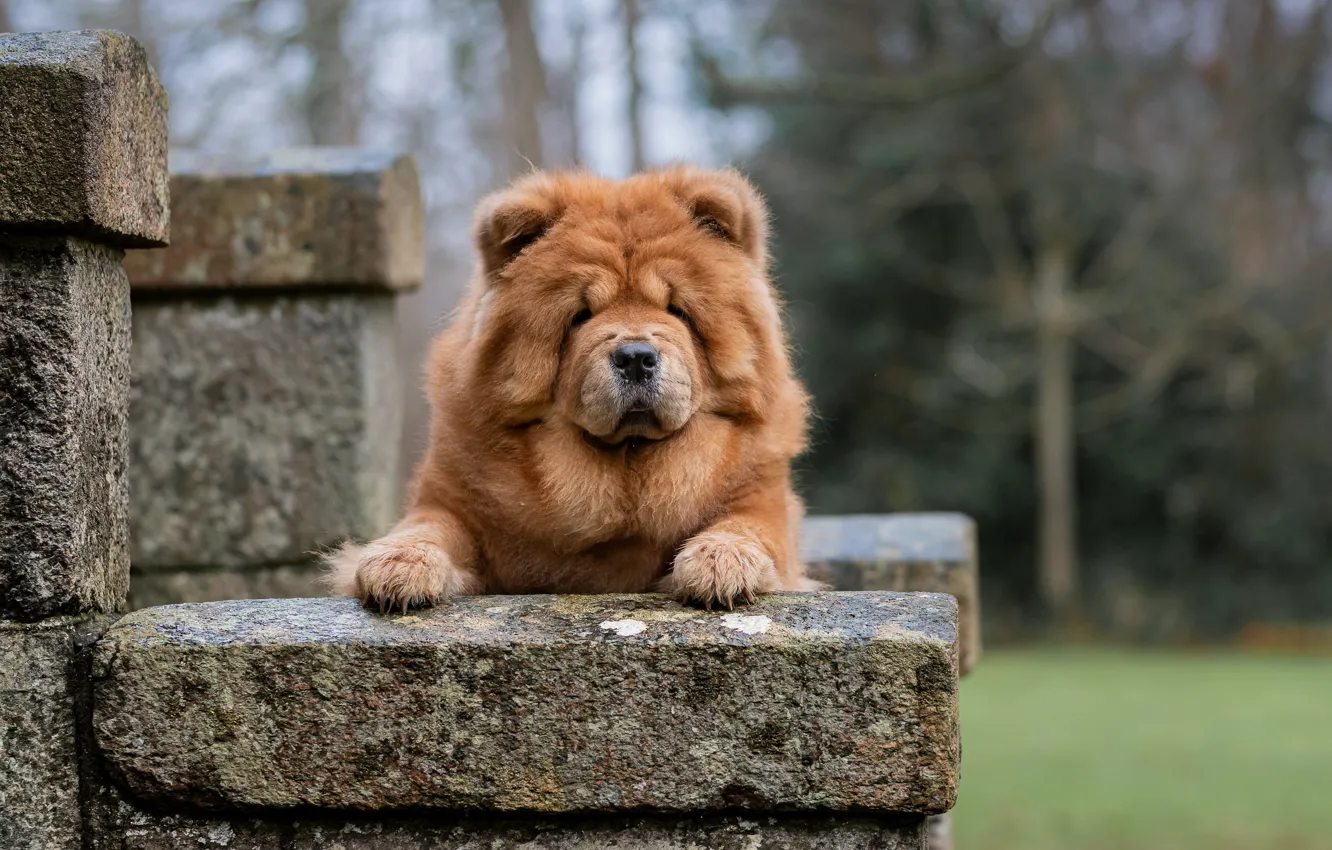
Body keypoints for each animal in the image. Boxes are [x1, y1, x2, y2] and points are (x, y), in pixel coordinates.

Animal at [327, 165, 815, 612]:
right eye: (581, 316)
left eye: (677, 311)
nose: (635, 356)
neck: (624, 472)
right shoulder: (451, 500)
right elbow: (428, 526)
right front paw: (397, 565)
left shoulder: (761, 497)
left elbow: (748, 526)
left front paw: (721, 561)